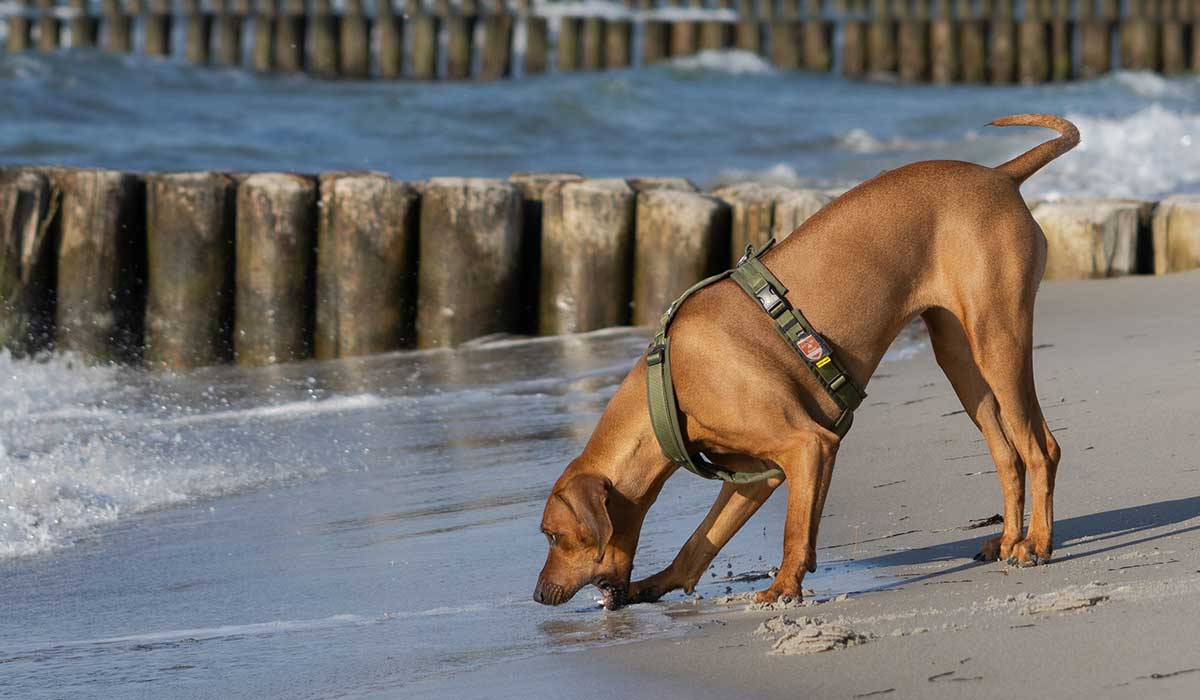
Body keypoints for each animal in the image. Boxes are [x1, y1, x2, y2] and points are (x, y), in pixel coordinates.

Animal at [530, 113, 1075, 607]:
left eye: (554, 536)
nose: (537, 595)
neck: (668, 390)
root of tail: (1000, 175)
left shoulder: (807, 445)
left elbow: (795, 530)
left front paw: (783, 588)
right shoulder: (760, 473)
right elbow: (701, 540)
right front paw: (658, 583)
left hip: (997, 339)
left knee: (1040, 447)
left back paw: (1036, 544)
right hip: (961, 358)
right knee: (1006, 453)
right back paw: (1007, 538)